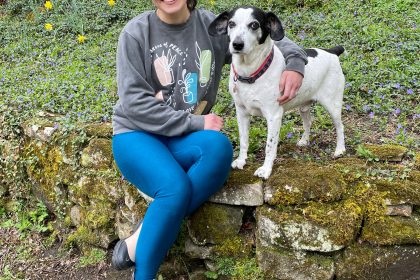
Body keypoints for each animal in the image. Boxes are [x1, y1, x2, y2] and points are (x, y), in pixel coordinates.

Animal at [208, 7, 346, 179]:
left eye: (254, 25)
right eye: (231, 24)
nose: (237, 44)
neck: (250, 73)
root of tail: (331, 51)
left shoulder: (274, 117)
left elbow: (270, 145)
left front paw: (266, 169)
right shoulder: (241, 113)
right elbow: (243, 140)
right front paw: (241, 160)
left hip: (332, 105)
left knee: (340, 127)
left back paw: (340, 150)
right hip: (303, 106)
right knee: (308, 122)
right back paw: (304, 140)